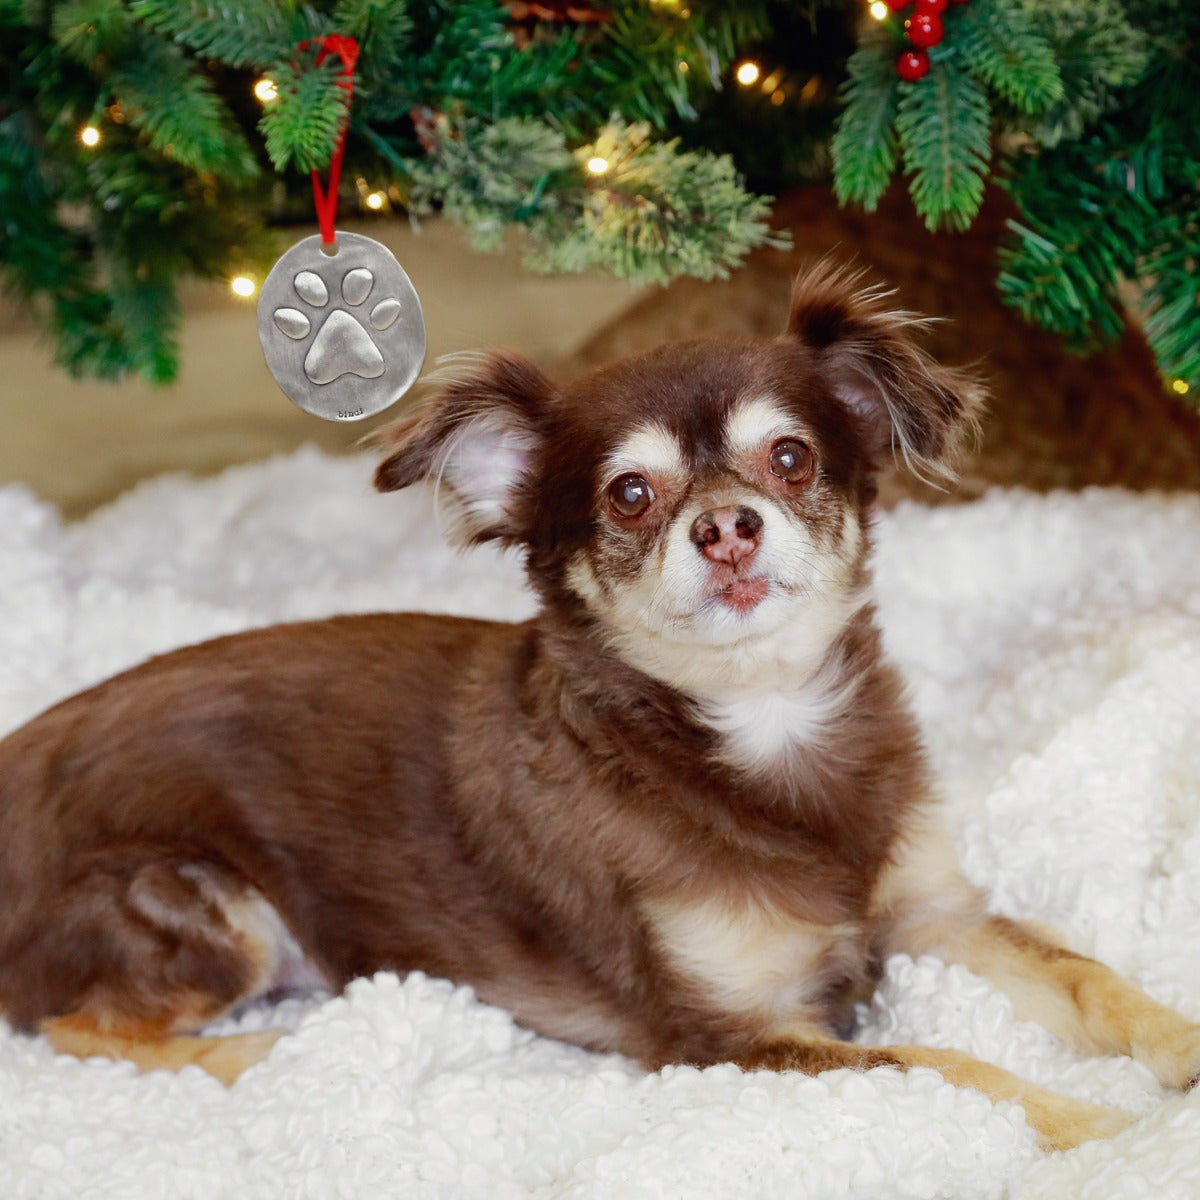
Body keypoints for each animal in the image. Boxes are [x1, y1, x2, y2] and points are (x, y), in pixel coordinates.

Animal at [2, 265, 1200, 1152]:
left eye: (791, 456)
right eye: (630, 495)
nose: (727, 526)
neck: (756, 725)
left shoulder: (932, 915)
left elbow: (1086, 972)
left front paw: (1181, 1050)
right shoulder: (725, 1037)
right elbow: (948, 1066)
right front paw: (1096, 1123)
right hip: (206, 907)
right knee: (70, 1024)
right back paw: (243, 1056)